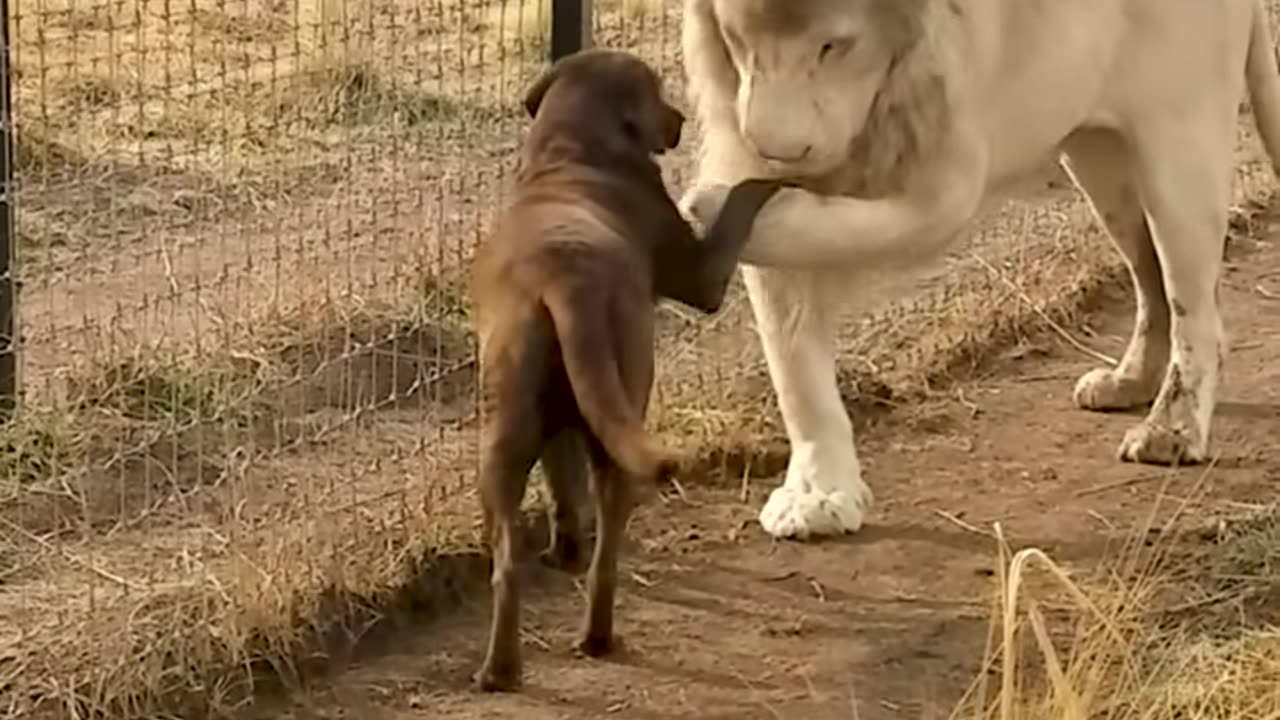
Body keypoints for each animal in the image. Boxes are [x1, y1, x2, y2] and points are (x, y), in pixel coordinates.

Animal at [465, 49, 773, 691]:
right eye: (656, 92)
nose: (679, 119)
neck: (572, 152)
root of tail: (564, 280)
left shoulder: (559, 425)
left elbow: (560, 484)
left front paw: (564, 549)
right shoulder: (703, 275)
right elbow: (745, 196)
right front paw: (775, 177)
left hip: (503, 436)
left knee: (507, 565)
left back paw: (500, 669)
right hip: (624, 409)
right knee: (609, 549)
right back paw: (598, 638)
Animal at [686, 0, 1280, 538]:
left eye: (834, 45)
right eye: (736, 43)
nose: (777, 152)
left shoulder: (950, 174)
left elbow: (843, 226)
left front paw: (710, 208)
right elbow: (794, 366)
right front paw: (817, 495)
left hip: (1177, 143)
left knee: (1195, 308)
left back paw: (1171, 430)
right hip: (1097, 153)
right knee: (1152, 279)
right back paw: (1129, 381)